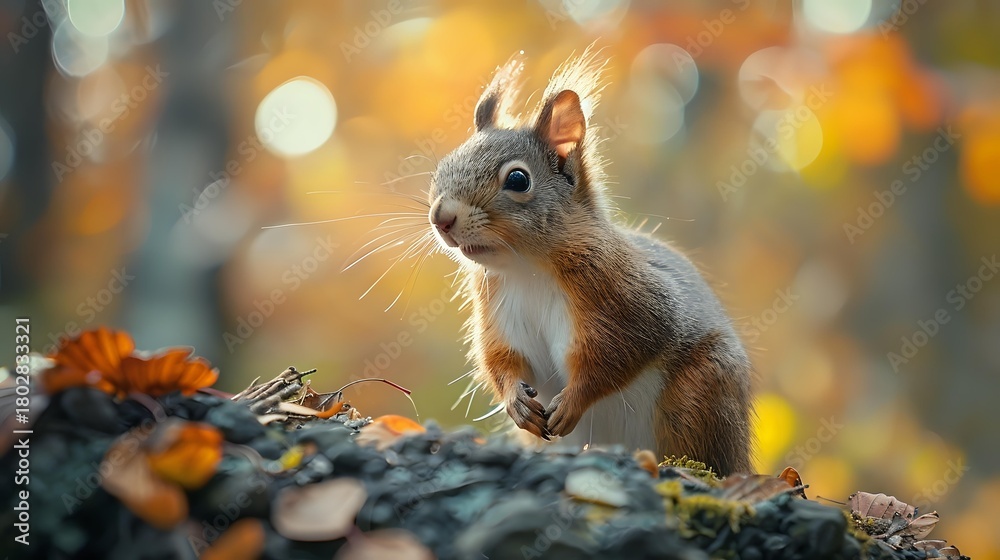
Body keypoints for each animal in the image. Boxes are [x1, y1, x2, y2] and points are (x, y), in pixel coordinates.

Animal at [427, 50, 754, 476]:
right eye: (444, 166)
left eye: (517, 180)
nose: (441, 217)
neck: (528, 268)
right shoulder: (499, 314)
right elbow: (500, 360)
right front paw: (516, 401)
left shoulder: (630, 301)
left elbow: (615, 358)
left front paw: (571, 403)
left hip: (698, 398)